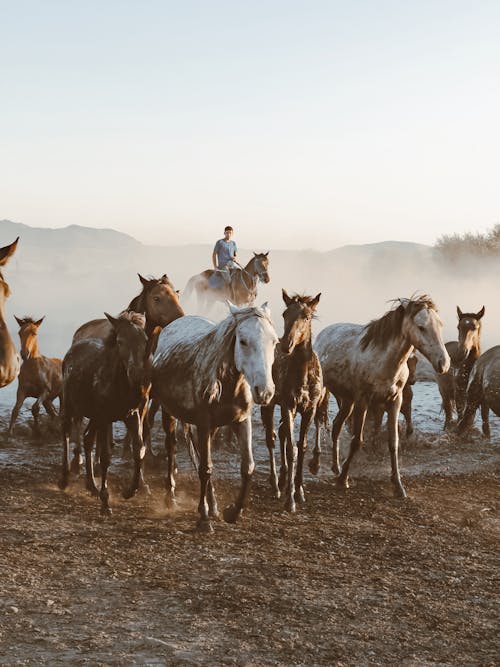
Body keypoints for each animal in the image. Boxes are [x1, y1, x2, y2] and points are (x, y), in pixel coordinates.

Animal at [59, 310, 150, 516]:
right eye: (120, 341)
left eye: (145, 340)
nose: (137, 376)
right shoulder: (105, 417)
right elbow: (106, 456)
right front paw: (105, 502)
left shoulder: (131, 415)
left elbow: (139, 449)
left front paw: (130, 491)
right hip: (70, 405)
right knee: (66, 433)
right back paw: (64, 480)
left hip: (93, 416)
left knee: (86, 438)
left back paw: (91, 486)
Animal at [151, 304, 278, 532]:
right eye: (243, 341)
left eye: (274, 341)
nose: (264, 391)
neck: (229, 385)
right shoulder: (203, 423)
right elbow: (205, 469)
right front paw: (204, 518)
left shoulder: (241, 422)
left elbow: (248, 467)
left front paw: (232, 512)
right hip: (169, 414)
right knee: (171, 448)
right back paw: (171, 497)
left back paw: (214, 505)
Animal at [260, 290, 322, 516]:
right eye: (285, 313)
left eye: (307, 316)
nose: (287, 343)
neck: (303, 375)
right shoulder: (288, 405)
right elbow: (291, 449)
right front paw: (290, 499)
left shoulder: (309, 409)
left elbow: (301, 446)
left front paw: (300, 490)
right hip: (269, 404)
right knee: (271, 438)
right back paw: (276, 485)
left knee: (282, 434)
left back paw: (284, 478)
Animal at [314, 296, 452, 496]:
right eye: (421, 327)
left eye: (440, 325)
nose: (444, 363)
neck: (383, 361)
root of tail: (322, 334)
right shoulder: (363, 401)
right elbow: (357, 441)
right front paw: (343, 480)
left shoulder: (395, 402)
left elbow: (393, 442)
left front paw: (398, 486)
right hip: (324, 391)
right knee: (318, 420)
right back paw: (316, 464)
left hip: (347, 400)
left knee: (336, 426)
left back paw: (336, 467)